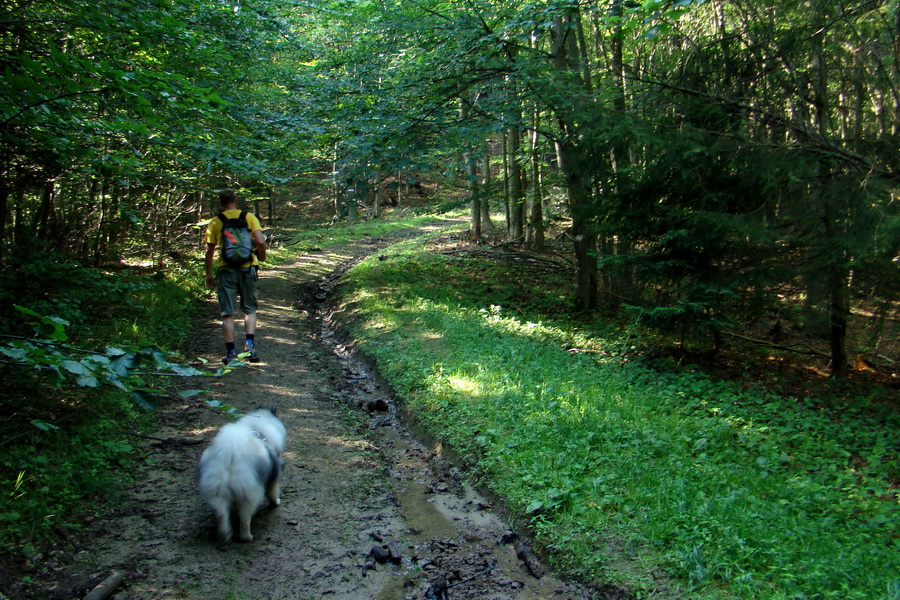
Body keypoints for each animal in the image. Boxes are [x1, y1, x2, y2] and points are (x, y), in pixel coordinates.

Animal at [199, 408, 286, 544]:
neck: (258, 430)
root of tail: (230, 456)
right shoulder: (273, 478)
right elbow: (272, 494)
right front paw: (276, 503)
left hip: (218, 491)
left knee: (222, 515)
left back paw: (224, 536)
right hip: (248, 495)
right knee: (244, 520)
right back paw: (247, 537)